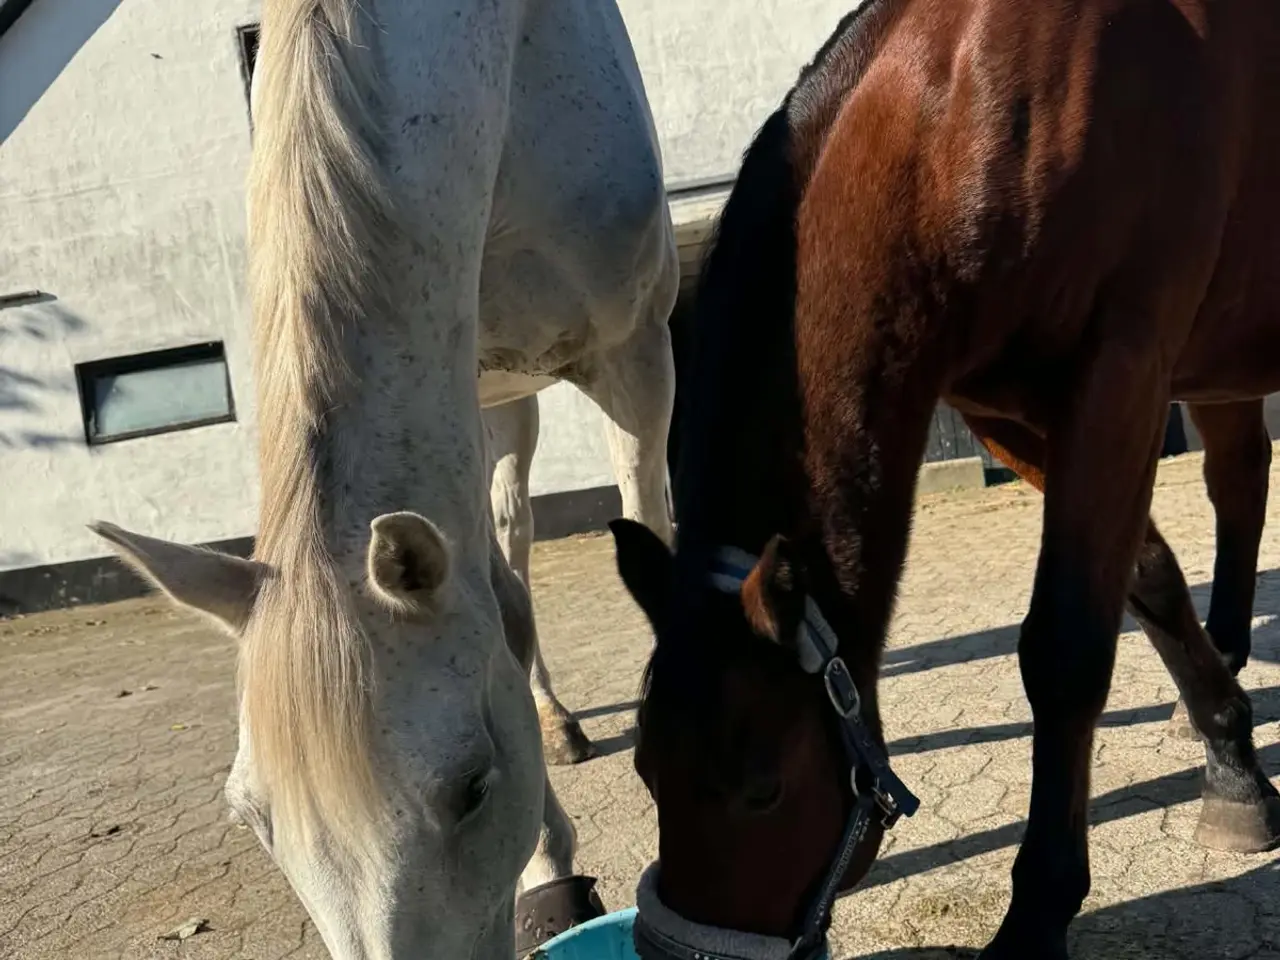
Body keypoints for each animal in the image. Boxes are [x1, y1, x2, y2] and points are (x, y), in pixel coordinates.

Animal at [88, 0, 677, 956]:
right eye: (254, 821)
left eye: (473, 787)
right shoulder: (456, 384)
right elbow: (499, 607)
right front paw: (550, 872)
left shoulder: (637, 358)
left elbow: (647, 518)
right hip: (497, 398)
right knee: (512, 538)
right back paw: (557, 723)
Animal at [610, 1, 1280, 957]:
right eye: (644, 764)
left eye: (762, 786)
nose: (671, 949)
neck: (964, 106)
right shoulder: (1011, 414)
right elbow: (1146, 578)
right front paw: (1233, 766)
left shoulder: (1120, 374)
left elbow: (1067, 648)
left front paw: (1035, 918)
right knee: (1239, 478)